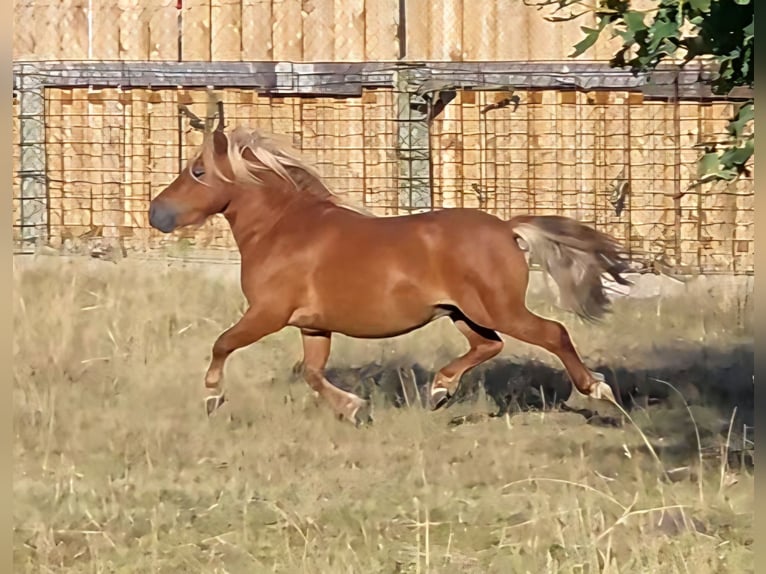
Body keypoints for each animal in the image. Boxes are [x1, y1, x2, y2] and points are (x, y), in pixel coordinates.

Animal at [148, 110, 633, 426]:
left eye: (197, 170)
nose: (156, 214)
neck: (283, 228)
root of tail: (506, 228)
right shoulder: (313, 326)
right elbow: (311, 371)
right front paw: (353, 408)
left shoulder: (268, 313)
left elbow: (222, 344)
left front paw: (212, 397)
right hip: (464, 313)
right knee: (487, 346)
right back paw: (439, 390)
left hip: (500, 309)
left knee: (553, 333)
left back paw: (597, 389)